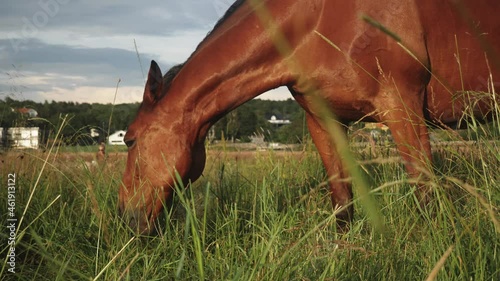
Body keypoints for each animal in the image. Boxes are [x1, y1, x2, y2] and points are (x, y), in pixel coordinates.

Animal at [119, 0, 498, 233]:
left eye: (130, 139)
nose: (125, 217)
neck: (320, 19)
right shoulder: (324, 121)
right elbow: (342, 200)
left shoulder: (403, 108)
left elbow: (425, 192)